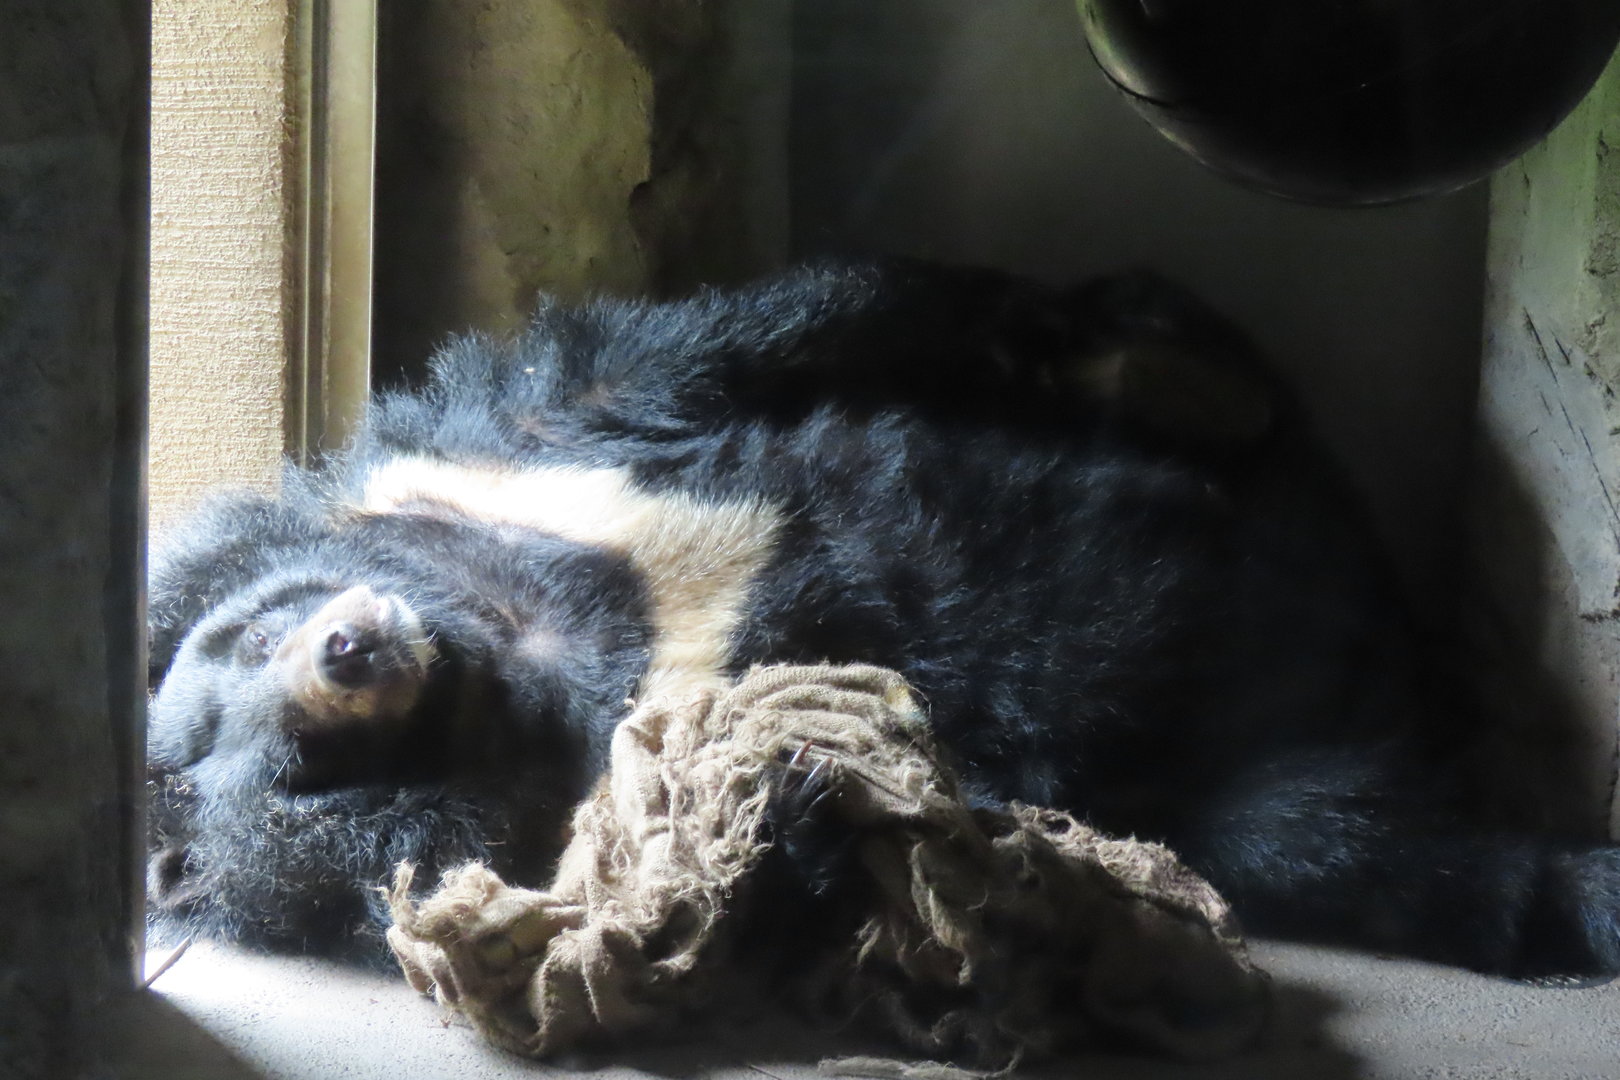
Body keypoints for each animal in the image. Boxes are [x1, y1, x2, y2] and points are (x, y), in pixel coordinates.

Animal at [146, 257, 1620, 978]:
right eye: (297, 766)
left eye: (243, 643)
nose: (351, 652)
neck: (501, 642)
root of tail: (1390, 660)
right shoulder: (568, 819)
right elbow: (735, 864)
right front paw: (839, 792)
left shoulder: (483, 452)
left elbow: (736, 339)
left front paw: (1135, 361)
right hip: (1258, 790)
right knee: (1366, 852)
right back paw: (1573, 898)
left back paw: (1185, 370)